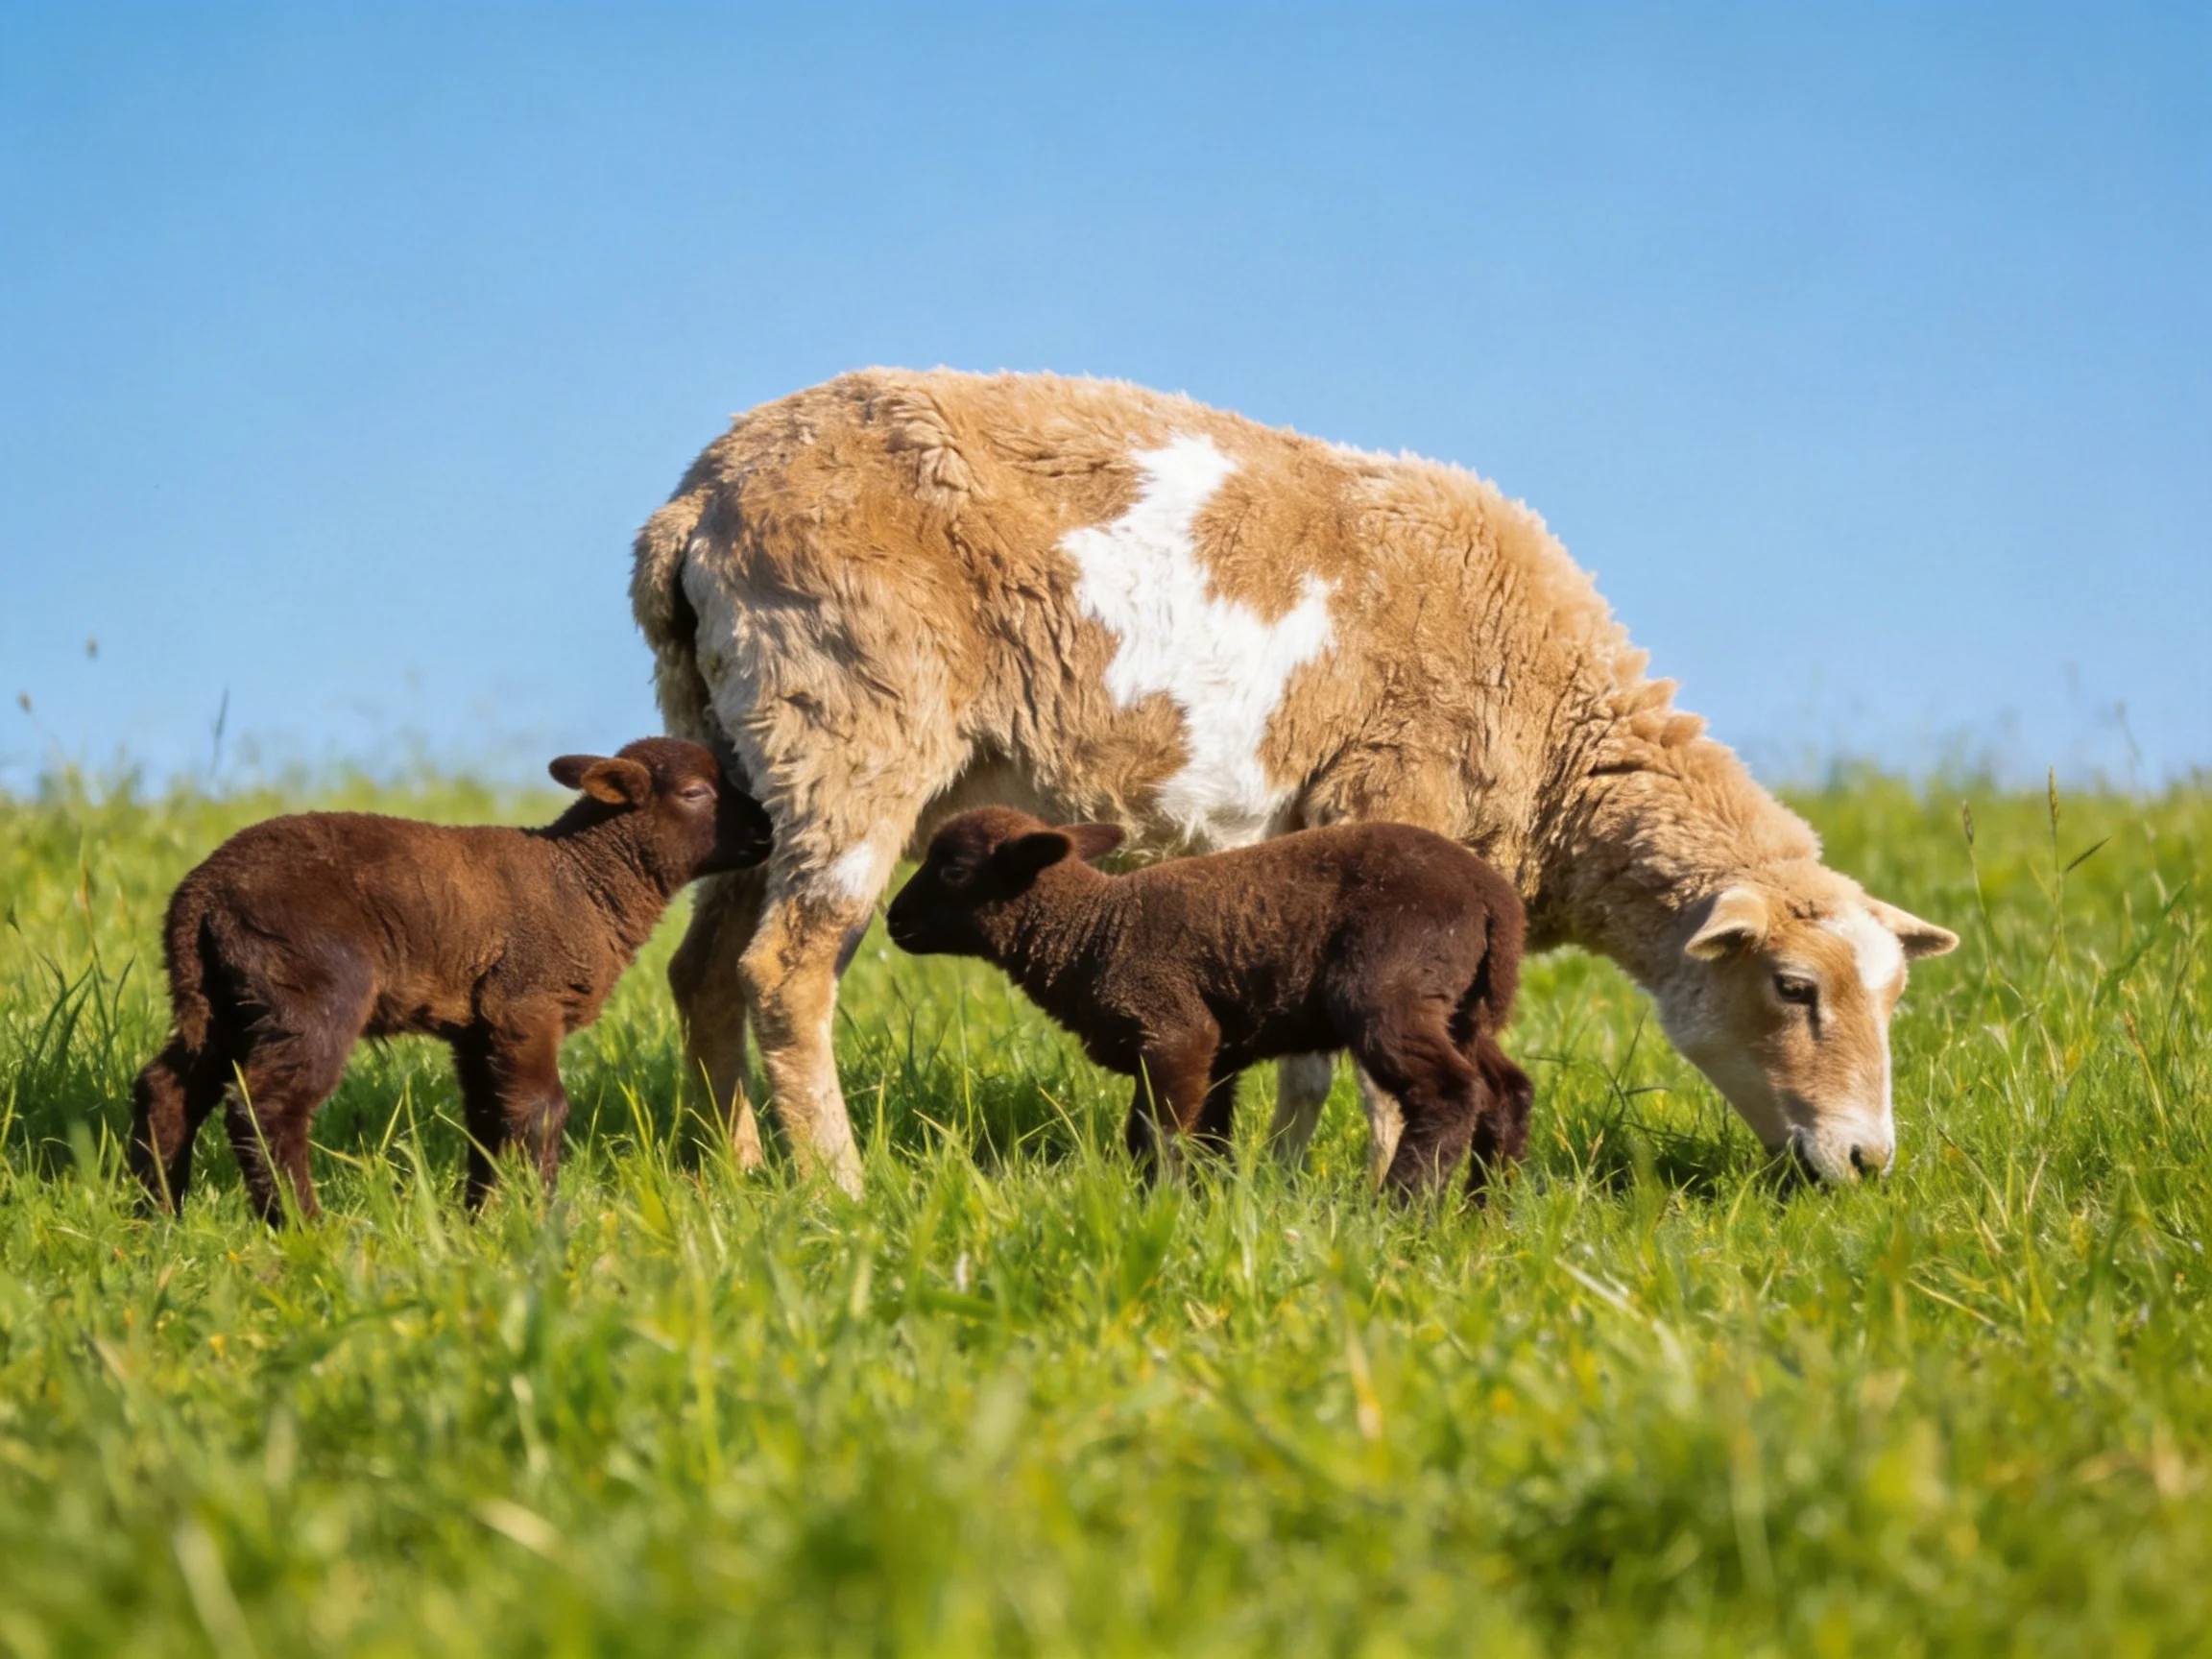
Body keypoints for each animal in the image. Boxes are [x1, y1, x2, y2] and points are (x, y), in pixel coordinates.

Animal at [127, 738, 772, 1222]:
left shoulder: (478, 1023)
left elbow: (487, 1119)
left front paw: (478, 1221)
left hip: (225, 999)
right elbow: (542, 1112)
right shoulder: (525, 1000)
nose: (768, 826)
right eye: (696, 793)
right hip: (308, 990)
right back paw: (302, 1227)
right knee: (265, 1107)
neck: (585, 882)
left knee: (168, 1089)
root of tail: (200, 896)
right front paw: (541, 1219)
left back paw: (157, 1218)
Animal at [885, 807, 1534, 1197]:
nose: (892, 921)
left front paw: (1161, 1204)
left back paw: (1400, 1210)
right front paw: (1205, 1202)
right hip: (1461, 1006)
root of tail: (1493, 899)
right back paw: (1485, 1214)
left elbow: (1159, 1135)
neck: (1093, 933)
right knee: (1506, 1090)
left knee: (1449, 1092)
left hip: (1390, 990)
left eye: (954, 867)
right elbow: (1201, 1137)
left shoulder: (1176, 1031)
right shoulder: (1215, 1053)